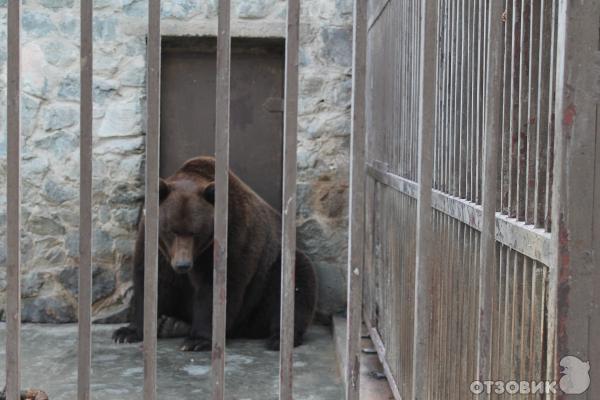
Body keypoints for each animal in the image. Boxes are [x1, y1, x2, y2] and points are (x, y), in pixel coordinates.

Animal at [113, 156, 318, 350]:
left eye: (195, 232)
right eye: (172, 230)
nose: (182, 265)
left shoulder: (232, 238)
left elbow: (216, 288)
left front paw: (197, 340)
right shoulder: (155, 245)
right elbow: (151, 281)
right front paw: (127, 332)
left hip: (269, 275)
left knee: (297, 283)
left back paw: (278, 339)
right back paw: (171, 324)